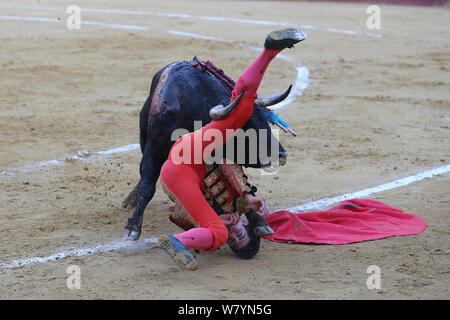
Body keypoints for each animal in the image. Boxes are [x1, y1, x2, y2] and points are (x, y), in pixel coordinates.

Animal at [122, 57, 292, 240]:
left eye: (265, 121)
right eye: (245, 127)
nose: (282, 154)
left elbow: (240, 186)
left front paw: (259, 222)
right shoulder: (154, 148)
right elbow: (148, 184)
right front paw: (133, 227)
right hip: (143, 135)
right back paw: (131, 199)